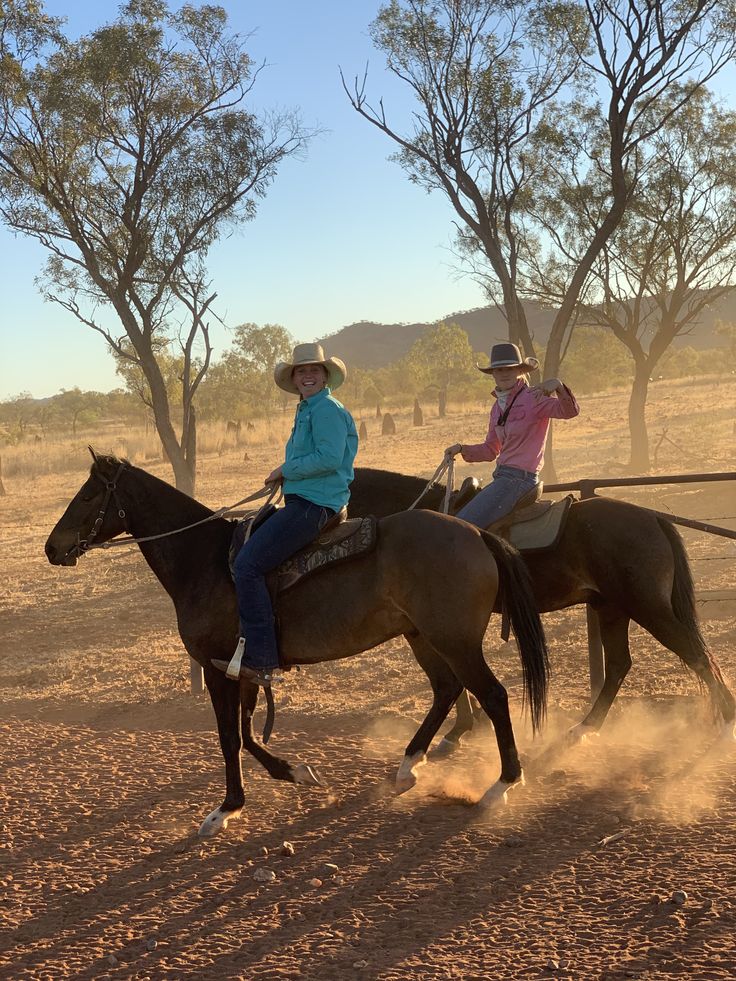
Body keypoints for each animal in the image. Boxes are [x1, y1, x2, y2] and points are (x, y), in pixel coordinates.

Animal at [43, 458, 548, 836]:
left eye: (88, 495)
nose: (52, 547)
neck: (205, 561)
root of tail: (475, 532)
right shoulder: (243, 667)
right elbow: (248, 733)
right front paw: (292, 772)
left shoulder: (216, 668)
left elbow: (229, 737)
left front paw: (225, 808)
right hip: (422, 635)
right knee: (446, 689)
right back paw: (407, 768)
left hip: (454, 640)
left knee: (492, 695)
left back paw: (501, 786)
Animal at [346, 468, 736, 752]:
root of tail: (651, 518)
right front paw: (466, 728)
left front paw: (461, 729)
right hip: (611, 606)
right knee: (620, 665)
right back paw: (583, 728)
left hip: (647, 606)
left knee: (697, 654)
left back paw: (727, 723)